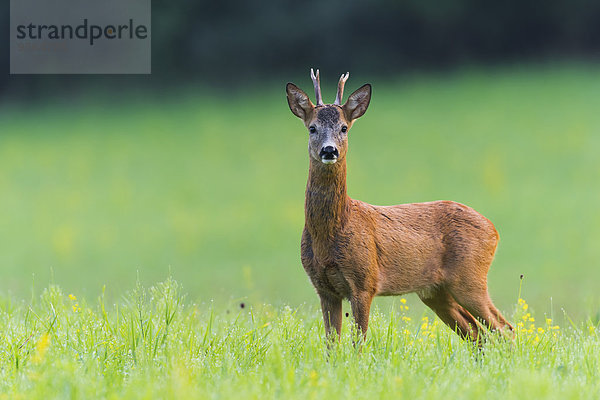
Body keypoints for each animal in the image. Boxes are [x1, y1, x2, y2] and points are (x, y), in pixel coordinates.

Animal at [288, 69, 512, 344]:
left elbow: (358, 343)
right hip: (436, 292)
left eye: (344, 127)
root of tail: (494, 230)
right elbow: (332, 344)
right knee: (476, 333)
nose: (329, 150)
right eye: (312, 128)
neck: (332, 231)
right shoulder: (324, 288)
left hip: (470, 278)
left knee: (505, 328)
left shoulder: (365, 282)